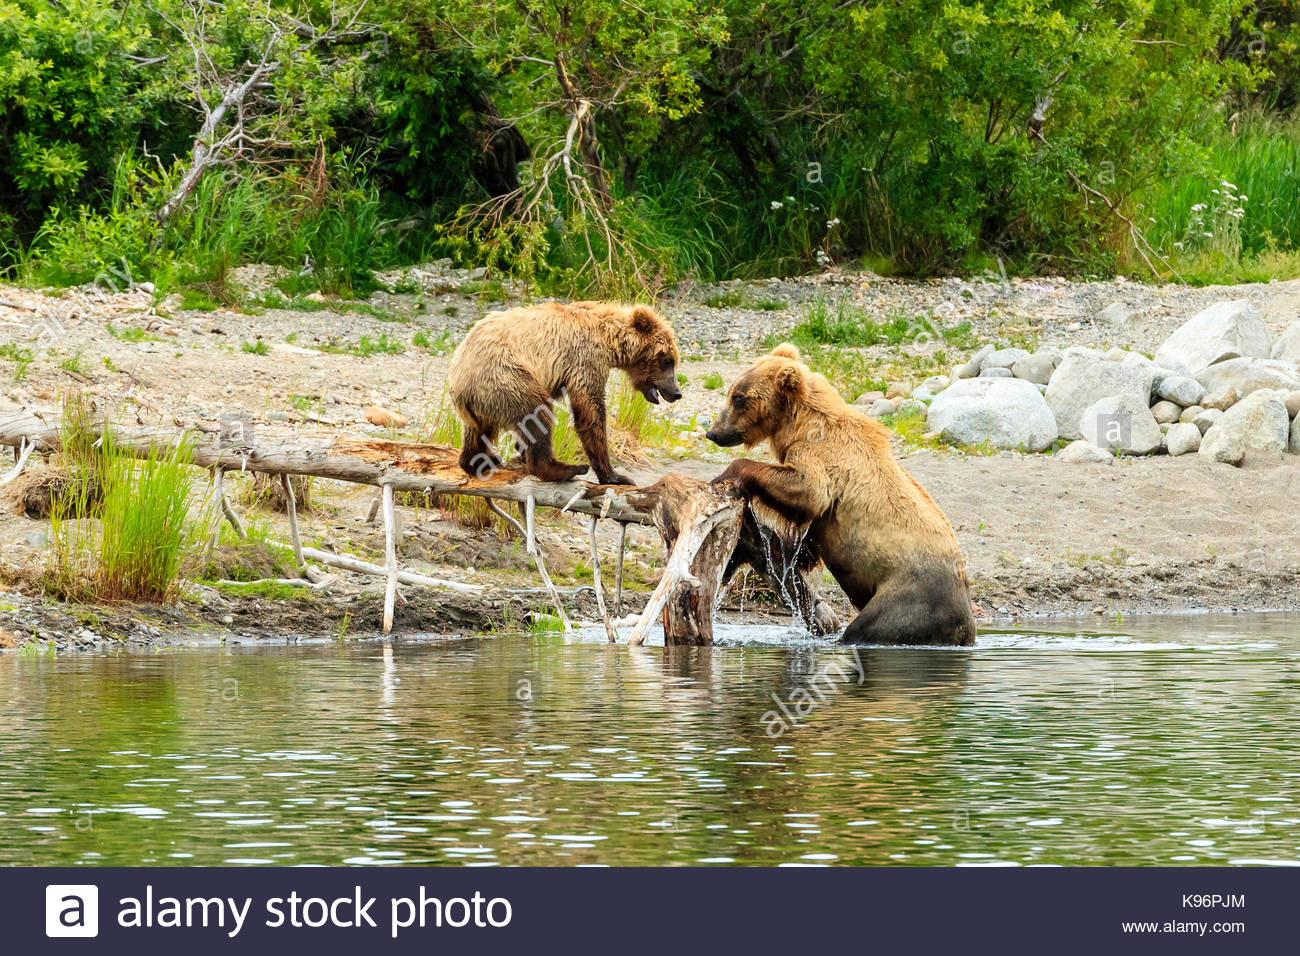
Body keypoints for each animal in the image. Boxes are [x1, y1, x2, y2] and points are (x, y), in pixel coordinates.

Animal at [449, 303, 681, 486]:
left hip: (483, 402)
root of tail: (459, 379)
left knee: (476, 431)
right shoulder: (585, 358)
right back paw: (566, 469)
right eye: (668, 360)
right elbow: (590, 411)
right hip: (507, 379)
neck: (609, 341)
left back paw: (479, 461)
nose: (677, 392)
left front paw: (520, 449)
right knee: (537, 413)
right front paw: (615, 476)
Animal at [707, 343, 972, 650]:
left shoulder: (822, 458)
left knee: (869, 627)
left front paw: (726, 475)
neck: (797, 426)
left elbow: (806, 492)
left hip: (908, 595)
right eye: (731, 392)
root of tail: (966, 627)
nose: (713, 432)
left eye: (739, 398)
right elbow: (801, 547)